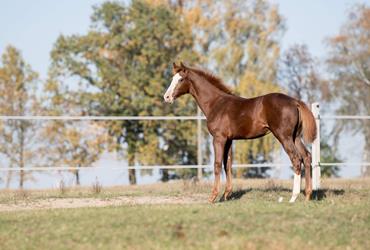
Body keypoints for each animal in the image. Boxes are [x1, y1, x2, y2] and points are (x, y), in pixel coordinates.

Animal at [163, 62, 316, 203]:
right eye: (172, 78)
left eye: (181, 79)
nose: (166, 97)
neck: (216, 103)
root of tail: (295, 102)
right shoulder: (229, 140)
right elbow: (228, 164)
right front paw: (226, 195)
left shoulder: (219, 138)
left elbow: (217, 164)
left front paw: (213, 197)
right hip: (295, 137)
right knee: (306, 156)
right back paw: (307, 196)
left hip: (284, 136)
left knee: (296, 159)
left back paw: (293, 197)